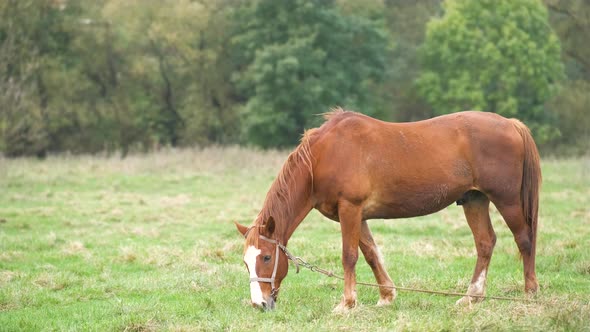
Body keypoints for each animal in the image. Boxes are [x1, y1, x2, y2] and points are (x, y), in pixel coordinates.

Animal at [236, 108, 540, 312]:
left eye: (266, 257)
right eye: (246, 262)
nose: (259, 303)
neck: (324, 155)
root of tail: (512, 124)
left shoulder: (350, 209)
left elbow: (349, 256)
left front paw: (347, 304)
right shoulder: (356, 215)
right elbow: (371, 254)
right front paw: (386, 296)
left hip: (507, 200)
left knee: (524, 240)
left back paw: (529, 293)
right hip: (475, 200)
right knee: (485, 242)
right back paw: (472, 297)